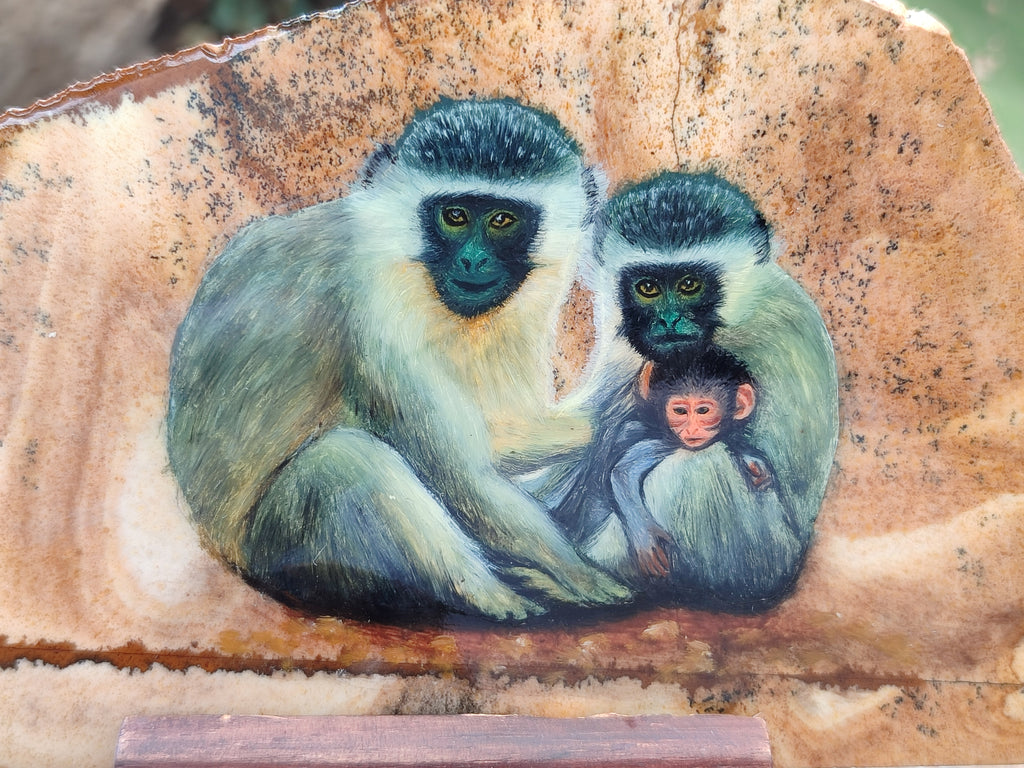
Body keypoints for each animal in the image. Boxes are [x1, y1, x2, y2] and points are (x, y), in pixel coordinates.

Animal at [166, 97, 630, 623]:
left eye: (502, 221)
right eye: (454, 216)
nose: (472, 261)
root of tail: (225, 552)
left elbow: (496, 436)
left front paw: (615, 407)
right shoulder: (372, 314)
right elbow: (463, 475)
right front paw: (583, 575)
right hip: (283, 552)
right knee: (343, 460)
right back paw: (489, 596)